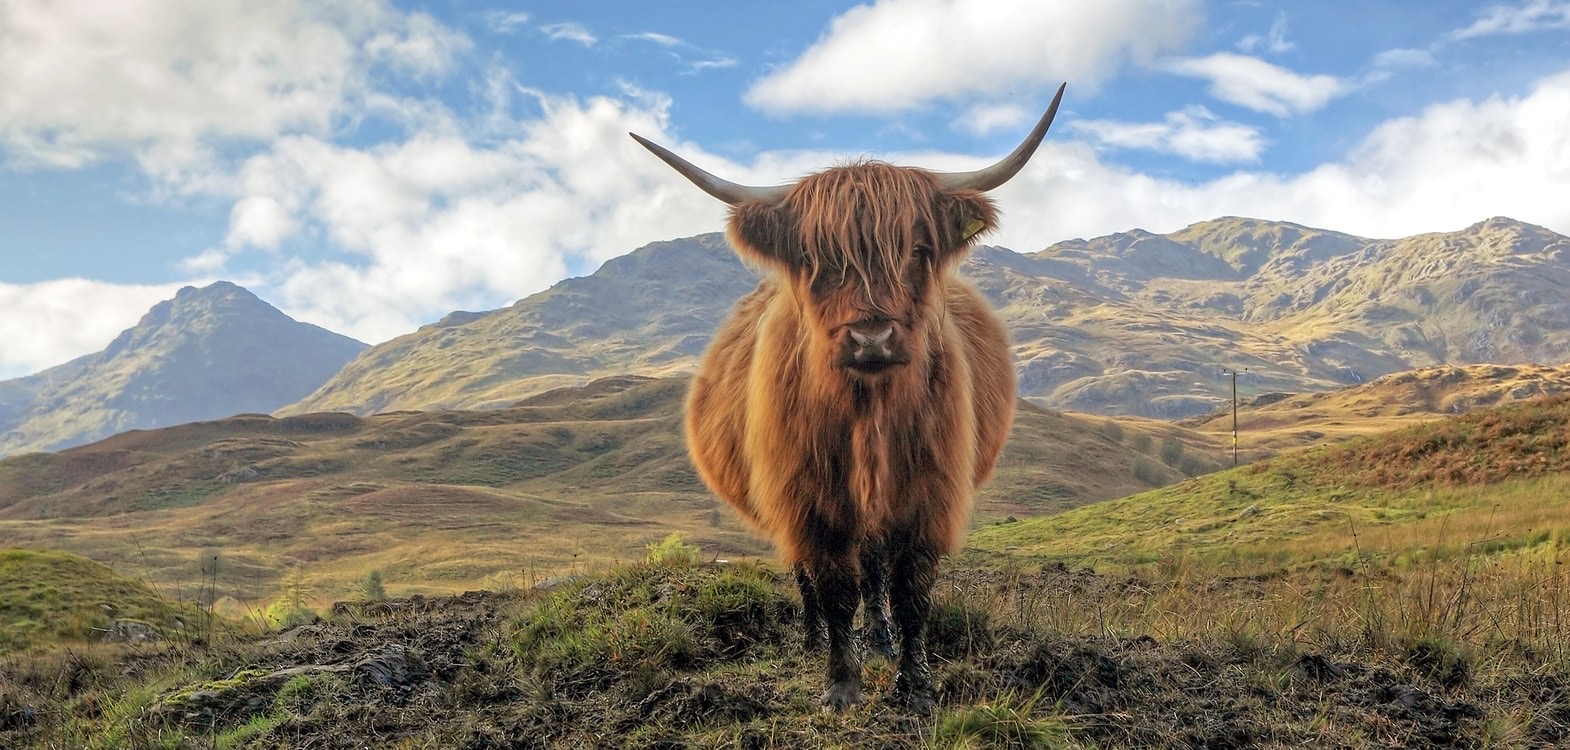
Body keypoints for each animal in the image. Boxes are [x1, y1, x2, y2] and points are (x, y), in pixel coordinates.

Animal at [630, 83, 1064, 713]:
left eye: (917, 250)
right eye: (816, 258)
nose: (872, 337)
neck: (868, 412)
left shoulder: (927, 493)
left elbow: (910, 591)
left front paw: (916, 686)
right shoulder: (806, 495)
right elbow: (833, 586)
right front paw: (840, 682)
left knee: (875, 567)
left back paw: (879, 640)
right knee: (810, 573)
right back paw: (814, 639)